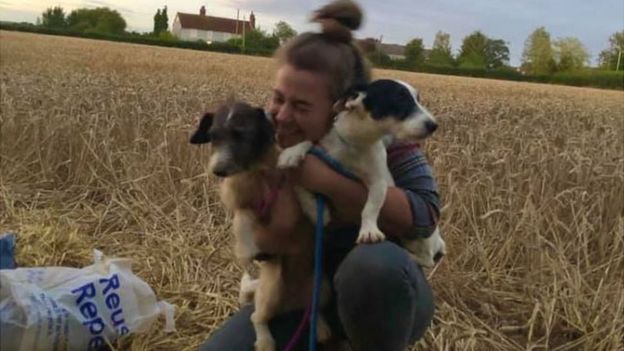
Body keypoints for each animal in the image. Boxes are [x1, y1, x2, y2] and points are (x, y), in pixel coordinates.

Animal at [280, 79, 446, 266]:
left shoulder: (379, 183)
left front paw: (369, 230)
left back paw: (410, 256)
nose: (433, 125)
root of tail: (440, 242)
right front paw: (292, 153)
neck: (356, 142)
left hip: (418, 238)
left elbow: (370, 207)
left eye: (418, 99)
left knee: (427, 259)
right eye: (400, 99)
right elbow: (300, 182)